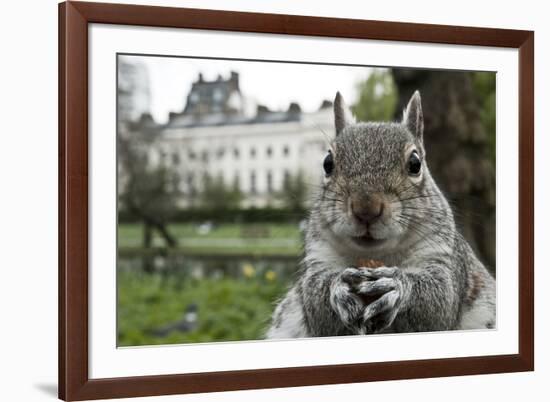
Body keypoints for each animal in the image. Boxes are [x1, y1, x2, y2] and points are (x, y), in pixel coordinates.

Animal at [270, 91, 498, 340]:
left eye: (415, 164)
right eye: (327, 163)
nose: (366, 209)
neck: (378, 255)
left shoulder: (443, 257)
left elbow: (439, 302)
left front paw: (397, 286)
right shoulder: (319, 256)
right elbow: (316, 306)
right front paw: (338, 287)